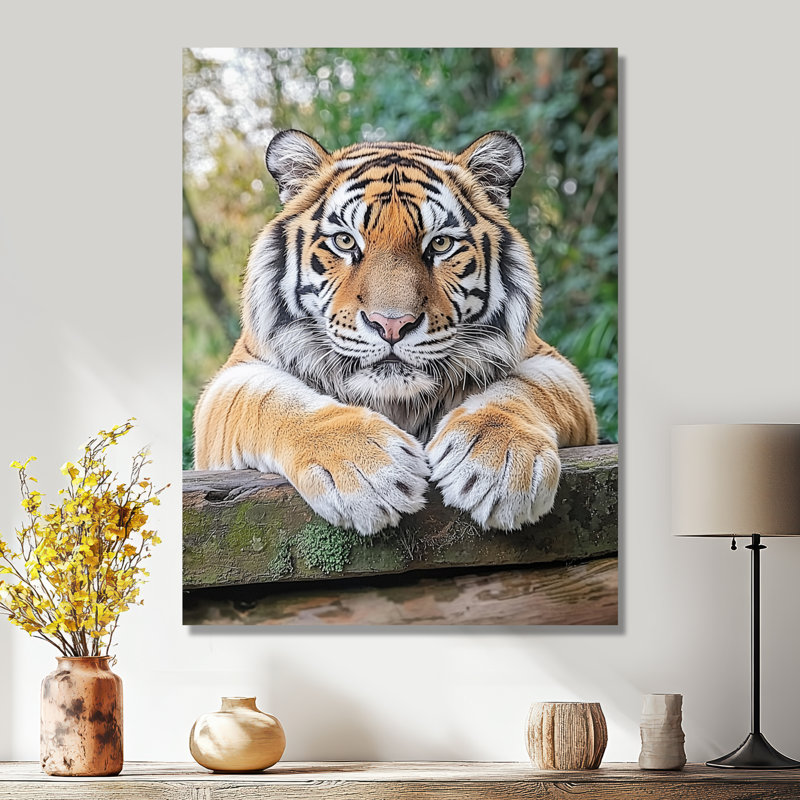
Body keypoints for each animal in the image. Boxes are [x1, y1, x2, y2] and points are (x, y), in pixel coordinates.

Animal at [193, 129, 597, 535]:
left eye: (440, 243)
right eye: (345, 241)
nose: (391, 324)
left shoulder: (551, 364)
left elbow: (523, 390)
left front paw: (499, 465)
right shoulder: (232, 379)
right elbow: (270, 402)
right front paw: (367, 471)